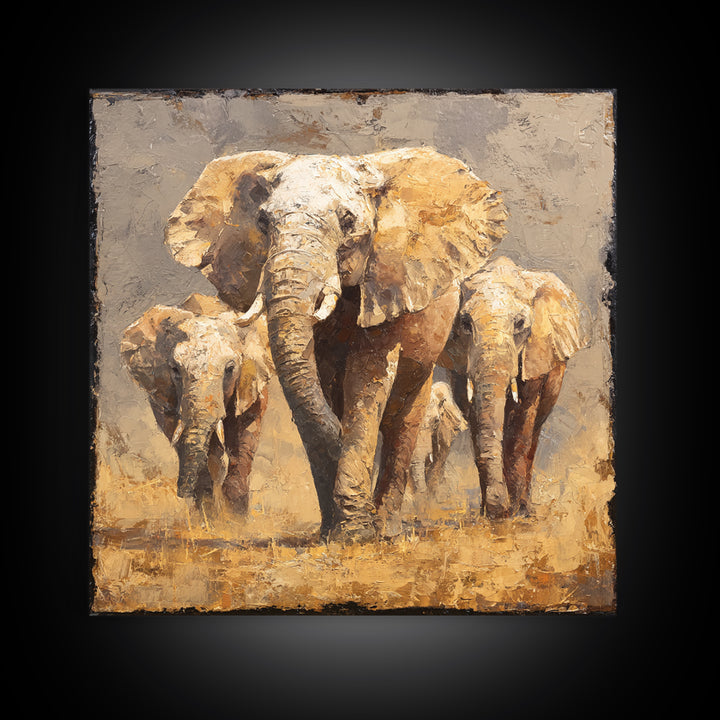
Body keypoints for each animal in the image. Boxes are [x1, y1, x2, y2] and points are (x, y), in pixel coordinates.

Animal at [120, 292, 273, 516]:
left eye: (230, 369)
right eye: (175, 369)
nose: (180, 492)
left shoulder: (251, 383)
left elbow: (245, 434)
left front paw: (235, 519)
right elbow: (179, 434)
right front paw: (208, 513)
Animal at [164, 147, 508, 541]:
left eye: (347, 220)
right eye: (263, 222)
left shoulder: (388, 280)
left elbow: (367, 377)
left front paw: (357, 534)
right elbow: (319, 378)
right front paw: (334, 530)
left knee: (403, 416)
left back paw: (387, 528)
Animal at [439, 255, 588, 519]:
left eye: (519, 323)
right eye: (465, 323)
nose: (500, 510)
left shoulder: (536, 351)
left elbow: (521, 419)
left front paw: (516, 513)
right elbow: (475, 417)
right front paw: (490, 513)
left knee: (534, 432)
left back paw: (525, 508)